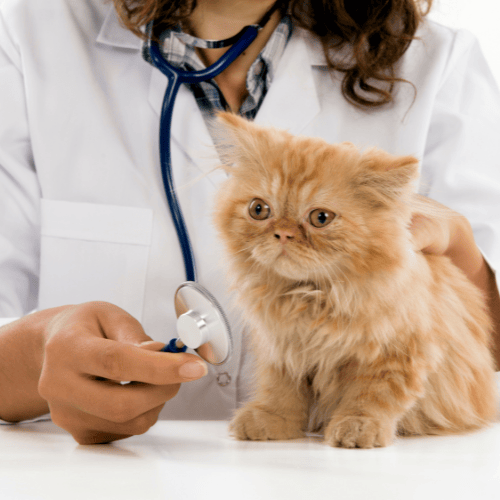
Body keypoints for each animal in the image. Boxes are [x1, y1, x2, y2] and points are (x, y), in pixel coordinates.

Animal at [213, 111, 498, 448]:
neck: (309, 298)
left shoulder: (397, 353)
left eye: (320, 218)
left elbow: (371, 395)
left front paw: (358, 427)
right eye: (259, 209)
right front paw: (270, 420)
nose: (283, 233)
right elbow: (280, 390)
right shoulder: (281, 349)